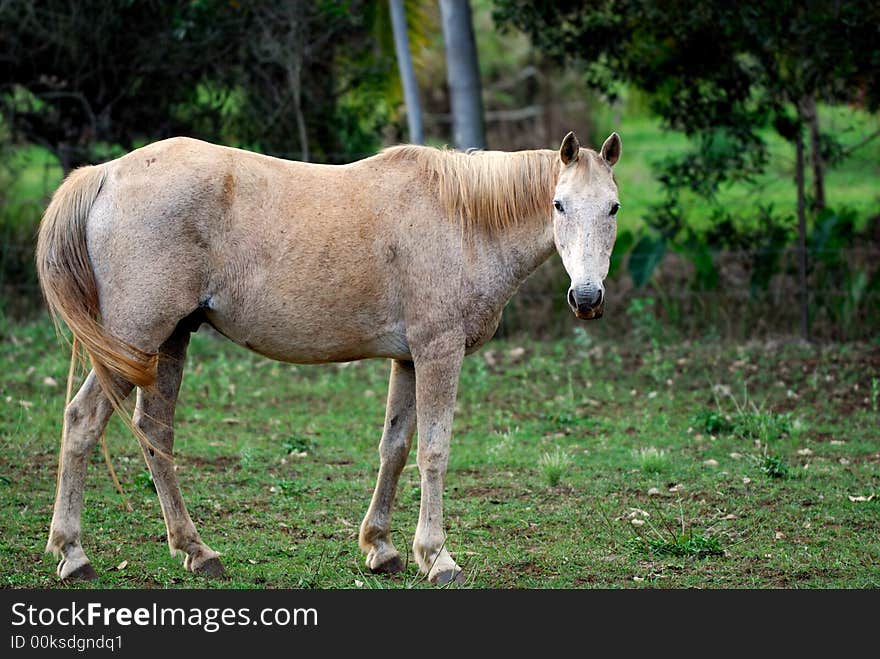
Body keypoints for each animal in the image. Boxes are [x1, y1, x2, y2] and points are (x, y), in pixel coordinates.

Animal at [37, 131, 624, 584]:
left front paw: (382, 548)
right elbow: (433, 452)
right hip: (133, 341)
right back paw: (73, 554)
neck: (462, 220)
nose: (587, 298)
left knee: (154, 434)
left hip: (169, 341)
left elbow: (395, 447)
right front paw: (437, 557)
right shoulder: (438, 351)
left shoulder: (408, 360)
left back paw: (196, 551)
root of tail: (106, 175)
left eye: (613, 207)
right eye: (559, 204)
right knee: (83, 421)